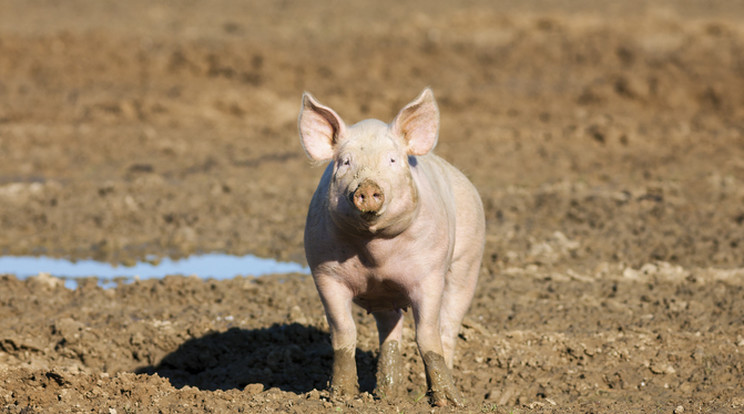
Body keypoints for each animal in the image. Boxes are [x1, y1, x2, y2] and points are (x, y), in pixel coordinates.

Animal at [300, 89, 486, 406]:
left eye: (392, 160)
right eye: (345, 162)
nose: (367, 187)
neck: (375, 252)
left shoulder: (429, 274)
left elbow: (427, 336)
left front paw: (448, 402)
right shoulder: (324, 274)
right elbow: (343, 333)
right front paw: (340, 396)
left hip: (468, 262)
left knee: (448, 328)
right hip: (384, 295)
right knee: (390, 329)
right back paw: (388, 395)